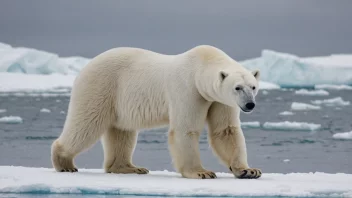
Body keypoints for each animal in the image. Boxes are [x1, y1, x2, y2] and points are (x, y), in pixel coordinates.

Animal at [51, 45, 262, 179]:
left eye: (253, 86)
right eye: (237, 87)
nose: (250, 105)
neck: (201, 64)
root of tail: (86, 66)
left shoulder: (219, 100)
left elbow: (225, 131)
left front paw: (249, 171)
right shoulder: (188, 90)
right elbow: (185, 129)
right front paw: (202, 172)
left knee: (122, 132)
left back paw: (130, 167)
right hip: (100, 86)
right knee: (87, 124)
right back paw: (65, 163)